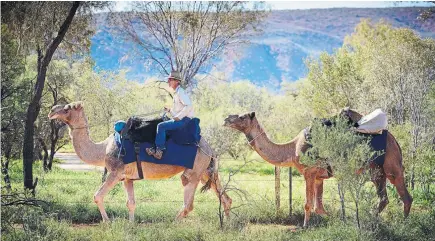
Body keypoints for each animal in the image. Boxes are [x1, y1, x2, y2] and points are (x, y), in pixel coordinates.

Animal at [47, 101, 232, 222]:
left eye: (68, 108)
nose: (51, 110)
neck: (103, 149)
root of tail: (209, 148)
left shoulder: (115, 172)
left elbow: (97, 196)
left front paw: (107, 222)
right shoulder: (127, 178)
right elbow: (131, 203)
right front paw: (131, 225)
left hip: (194, 171)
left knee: (188, 202)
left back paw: (172, 224)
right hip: (206, 171)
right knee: (224, 197)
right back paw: (227, 224)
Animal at [225, 110, 412, 227]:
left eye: (241, 117)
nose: (226, 119)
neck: (291, 149)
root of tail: (395, 141)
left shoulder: (309, 172)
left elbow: (308, 204)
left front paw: (305, 226)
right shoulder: (319, 176)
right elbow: (319, 207)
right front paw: (336, 221)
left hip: (391, 166)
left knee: (403, 195)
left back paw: (398, 223)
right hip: (377, 170)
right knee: (387, 198)